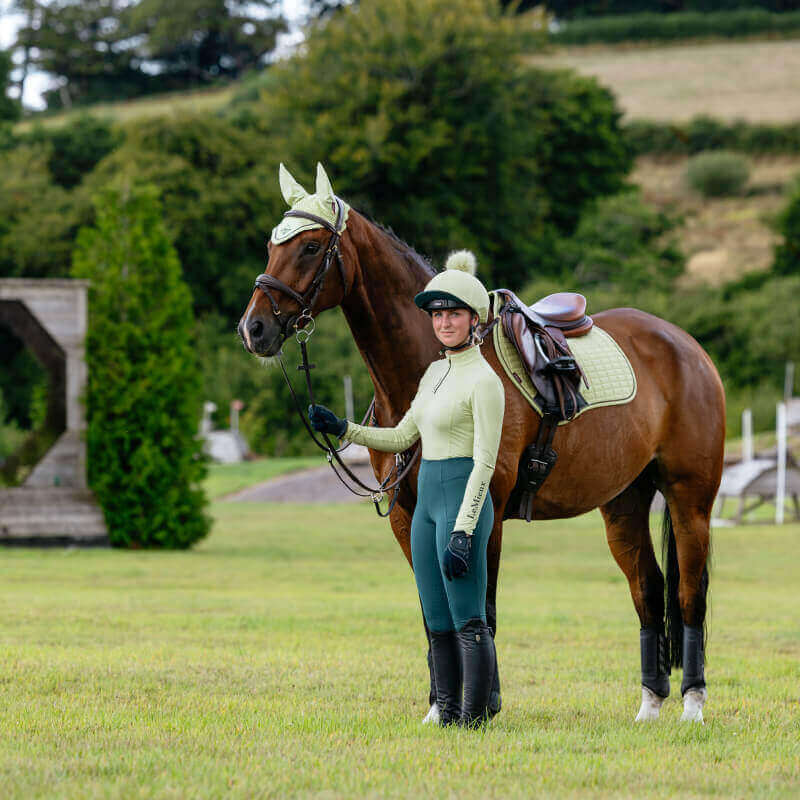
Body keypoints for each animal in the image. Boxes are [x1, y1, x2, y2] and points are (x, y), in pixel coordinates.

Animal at [238, 166, 725, 724]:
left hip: (690, 502)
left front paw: (482, 707)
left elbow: (480, 609)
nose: (253, 328)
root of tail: (685, 345)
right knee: (647, 588)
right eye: (271, 245)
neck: (433, 370)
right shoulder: (408, 518)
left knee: (688, 594)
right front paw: (439, 707)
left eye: (311, 246)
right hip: (623, 504)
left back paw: (692, 704)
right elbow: (433, 613)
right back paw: (649, 705)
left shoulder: (479, 516)